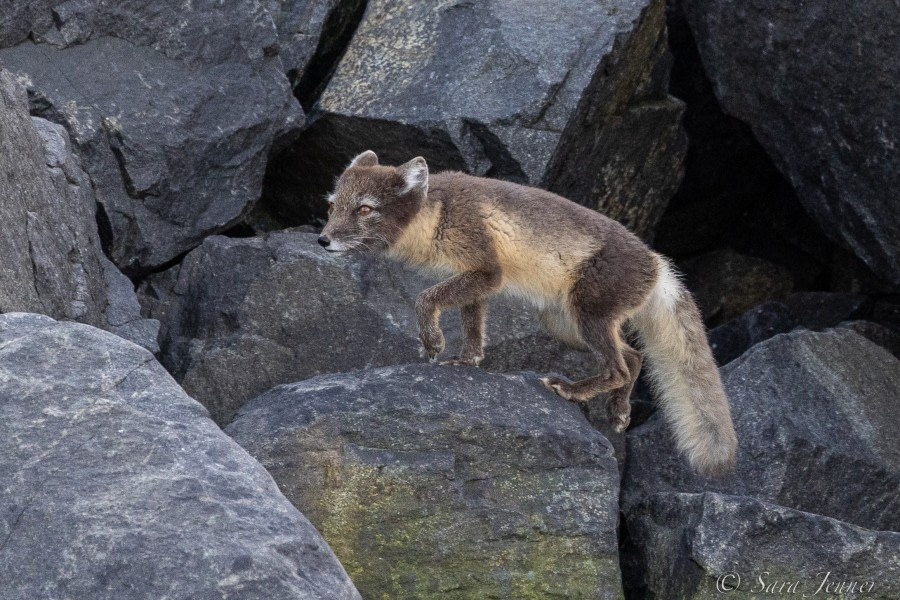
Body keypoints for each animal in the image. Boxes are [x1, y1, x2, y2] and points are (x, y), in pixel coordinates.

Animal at [316, 151, 740, 478]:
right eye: (331, 206)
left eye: (364, 209)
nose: (322, 239)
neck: (436, 213)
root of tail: (658, 263)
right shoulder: (474, 280)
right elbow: (473, 327)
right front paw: (466, 360)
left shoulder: (486, 272)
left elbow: (425, 299)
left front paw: (432, 341)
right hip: (566, 324)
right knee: (633, 357)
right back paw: (619, 413)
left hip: (586, 316)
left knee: (619, 367)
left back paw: (572, 391)